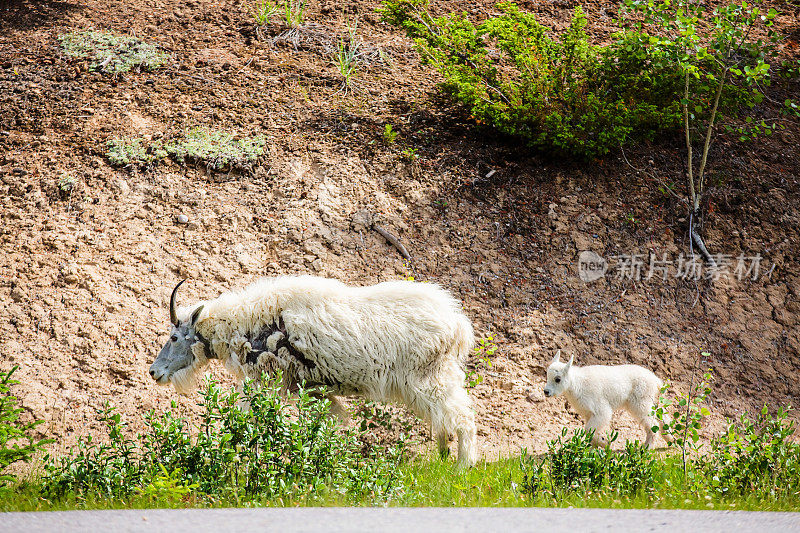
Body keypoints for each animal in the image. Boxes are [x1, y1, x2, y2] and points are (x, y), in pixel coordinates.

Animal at [148, 274, 478, 466]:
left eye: (174, 337)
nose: (154, 372)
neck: (247, 325)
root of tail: (459, 326)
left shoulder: (268, 380)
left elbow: (244, 420)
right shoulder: (307, 389)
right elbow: (326, 421)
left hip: (428, 376)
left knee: (462, 418)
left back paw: (462, 467)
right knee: (443, 419)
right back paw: (442, 460)